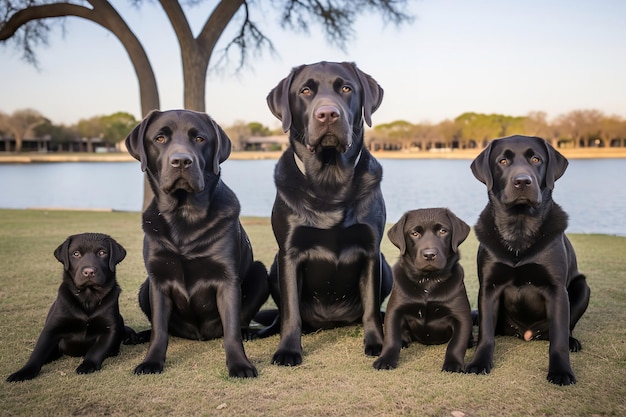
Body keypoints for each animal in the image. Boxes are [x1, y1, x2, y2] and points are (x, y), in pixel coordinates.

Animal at [6, 232, 145, 382]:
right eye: (76, 254)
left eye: (102, 253)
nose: (89, 272)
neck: (88, 297)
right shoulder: (51, 328)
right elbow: (38, 352)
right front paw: (24, 372)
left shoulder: (110, 328)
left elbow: (97, 350)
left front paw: (88, 365)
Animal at [123, 109, 266, 376]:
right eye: (160, 138)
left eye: (199, 139)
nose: (181, 161)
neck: (185, 216)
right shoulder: (158, 279)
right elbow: (159, 330)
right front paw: (151, 361)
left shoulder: (227, 279)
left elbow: (232, 330)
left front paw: (240, 364)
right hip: (145, 287)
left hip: (261, 273)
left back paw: (248, 332)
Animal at [262, 61, 390, 364]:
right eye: (305, 91)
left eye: (346, 88)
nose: (328, 114)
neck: (330, 181)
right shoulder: (289, 253)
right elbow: (291, 312)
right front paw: (288, 350)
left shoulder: (371, 251)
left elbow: (370, 307)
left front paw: (377, 343)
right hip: (273, 267)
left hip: (387, 267)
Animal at [372, 208, 470, 370]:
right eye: (414, 233)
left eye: (443, 231)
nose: (429, 255)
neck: (428, 282)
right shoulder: (394, 310)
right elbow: (391, 338)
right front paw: (385, 359)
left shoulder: (461, 316)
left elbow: (457, 344)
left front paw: (453, 364)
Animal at [466, 135, 588, 386]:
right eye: (502, 161)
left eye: (536, 159)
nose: (522, 181)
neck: (519, 230)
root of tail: (527, 334)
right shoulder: (489, 287)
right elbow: (485, 333)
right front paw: (479, 362)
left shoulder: (556, 289)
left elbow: (558, 339)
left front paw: (561, 371)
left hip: (582, 287)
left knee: (566, 329)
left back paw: (572, 342)